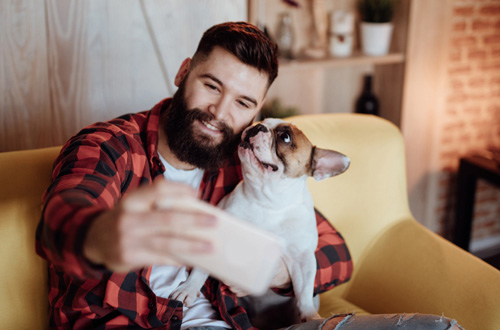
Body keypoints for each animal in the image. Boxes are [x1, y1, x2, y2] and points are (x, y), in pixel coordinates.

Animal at [170, 118, 350, 322]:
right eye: (261, 121)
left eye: (285, 137)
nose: (257, 126)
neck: (267, 201)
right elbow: (200, 269)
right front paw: (188, 288)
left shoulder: (303, 259)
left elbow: (304, 291)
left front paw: (310, 315)